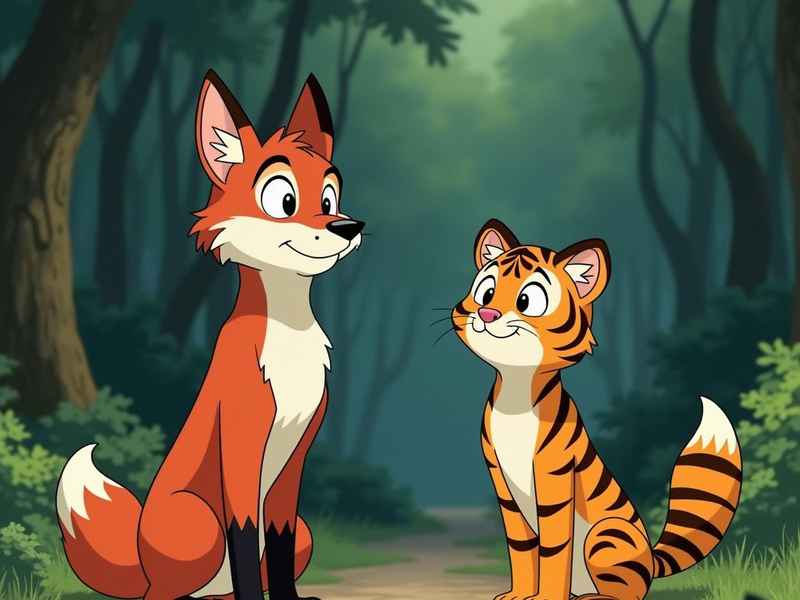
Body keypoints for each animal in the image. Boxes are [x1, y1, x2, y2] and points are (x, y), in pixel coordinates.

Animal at [450, 219, 742, 600]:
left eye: (527, 300)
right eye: (486, 292)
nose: (487, 313)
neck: (515, 390)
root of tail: (652, 558)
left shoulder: (554, 474)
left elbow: (554, 548)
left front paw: (546, 598)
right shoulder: (501, 480)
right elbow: (521, 547)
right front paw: (518, 594)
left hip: (607, 535)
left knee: (629, 591)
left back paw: (594, 597)